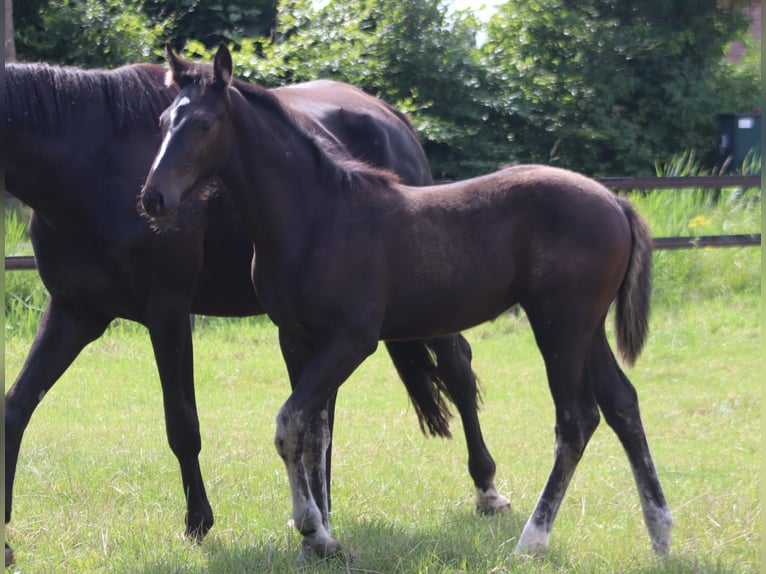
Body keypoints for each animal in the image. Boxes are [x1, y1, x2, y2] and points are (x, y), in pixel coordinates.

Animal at [6, 59, 512, 568]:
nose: (153, 198)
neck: (95, 161)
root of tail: (392, 116)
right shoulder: (74, 312)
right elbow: (16, 407)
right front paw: (7, 541)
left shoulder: (168, 310)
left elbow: (182, 426)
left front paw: (198, 522)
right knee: (324, 415)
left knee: (457, 368)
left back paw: (486, 489)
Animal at [141, 46, 676, 564]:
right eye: (164, 120)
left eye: (204, 123)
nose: (153, 198)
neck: (314, 219)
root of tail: (614, 201)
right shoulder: (297, 338)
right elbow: (314, 434)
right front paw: (321, 540)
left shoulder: (351, 341)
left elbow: (290, 424)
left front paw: (312, 529)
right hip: (586, 327)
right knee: (622, 404)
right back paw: (660, 533)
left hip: (558, 323)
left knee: (576, 419)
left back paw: (533, 540)